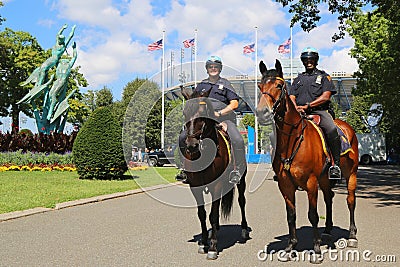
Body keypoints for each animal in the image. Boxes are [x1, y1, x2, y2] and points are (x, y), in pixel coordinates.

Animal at [182, 91, 250, 260]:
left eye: (203, 112)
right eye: (185, 112)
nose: (191, 145)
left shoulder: (216, 185)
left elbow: (212, 214)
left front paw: (212, 247)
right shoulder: (195, 187)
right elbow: (202, 214)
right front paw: (204, 242)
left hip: (241, 182)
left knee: (241, 202)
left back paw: (244, 229)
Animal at [256, 60, 360, 264]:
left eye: (279, 85)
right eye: (260, 87)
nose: (262, 113)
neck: (292, 140)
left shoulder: (311, 183)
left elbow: (312, 215)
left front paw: (317, 250)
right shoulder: (285, 185)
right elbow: (291, 215)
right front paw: (290, 246)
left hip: (350, 174)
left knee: (350, 201)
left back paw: (352, 235)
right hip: (325, 179)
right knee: (329, 198)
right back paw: (327, 231)